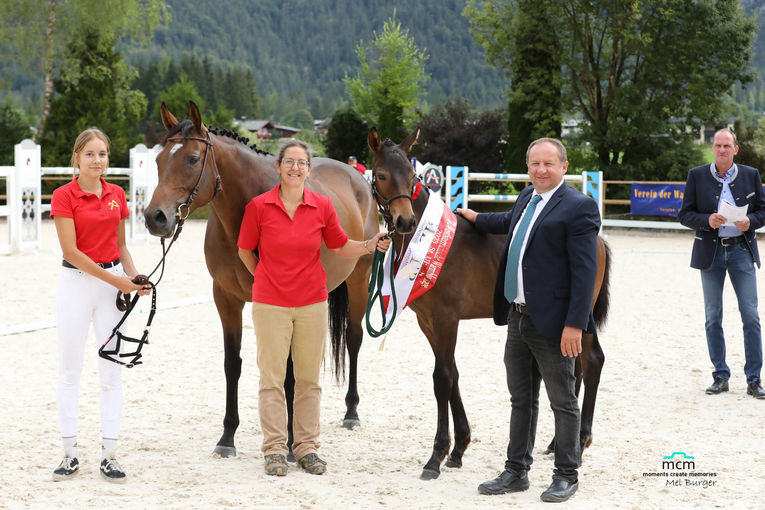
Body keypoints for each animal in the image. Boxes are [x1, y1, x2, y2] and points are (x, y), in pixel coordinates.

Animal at [143, 103, 376, 458]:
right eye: (157, 160)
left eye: (193, 159)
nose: (155, 218)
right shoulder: (226, 298)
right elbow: (233, 364)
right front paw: (227, 438)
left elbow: (289, 372)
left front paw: (292, 442)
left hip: (359, 280)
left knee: (353, 338)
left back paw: (351, 412)